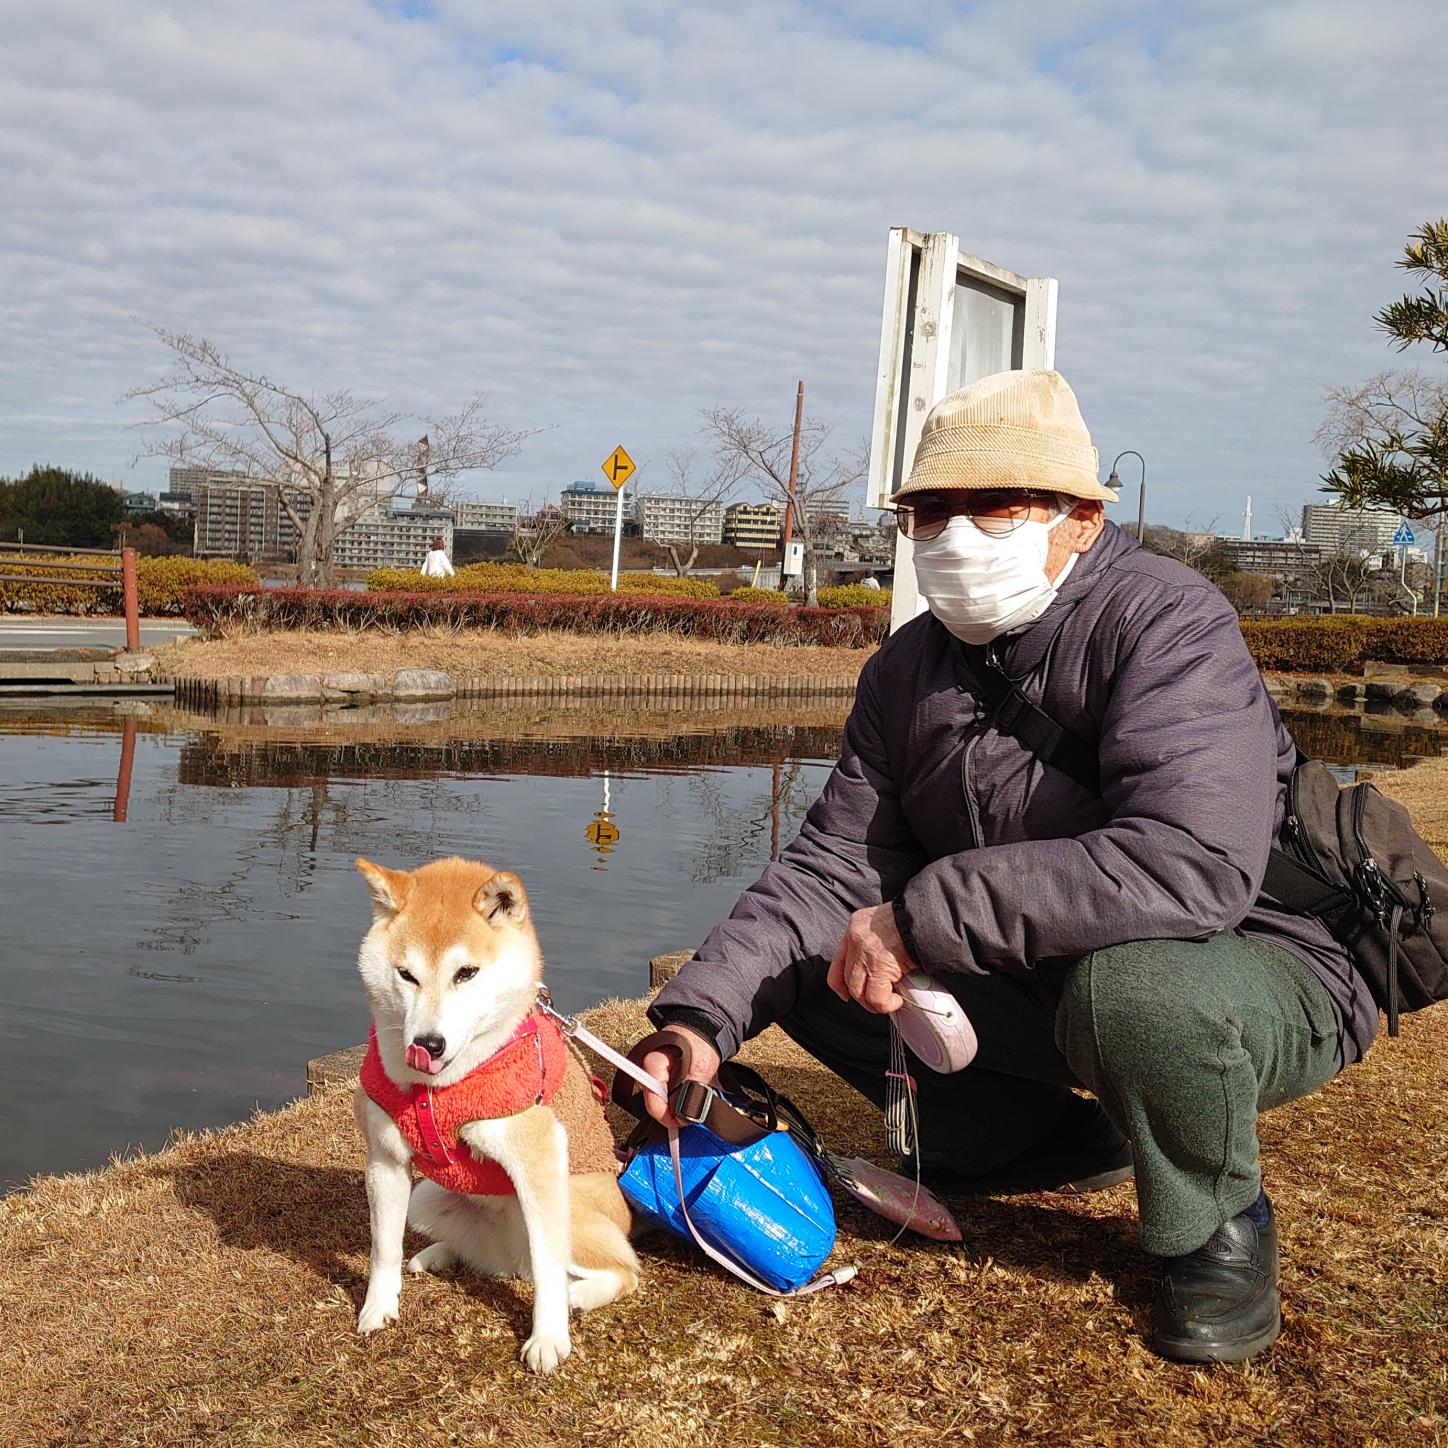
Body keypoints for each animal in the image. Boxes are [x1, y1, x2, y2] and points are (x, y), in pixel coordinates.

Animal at [351, 851, 640, 1372]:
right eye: (407, 975)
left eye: (466, 972)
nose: (427, 1043)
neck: (438, 1087)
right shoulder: (385, 1158)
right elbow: (382, 1246)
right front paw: (378, 1309)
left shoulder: (538, 1159)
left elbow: (549, 1272)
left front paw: (548, 1338)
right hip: (428, 1197)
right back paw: (438, 1254)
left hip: (571, 1212)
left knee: (621, 1270)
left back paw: (580, 1297)